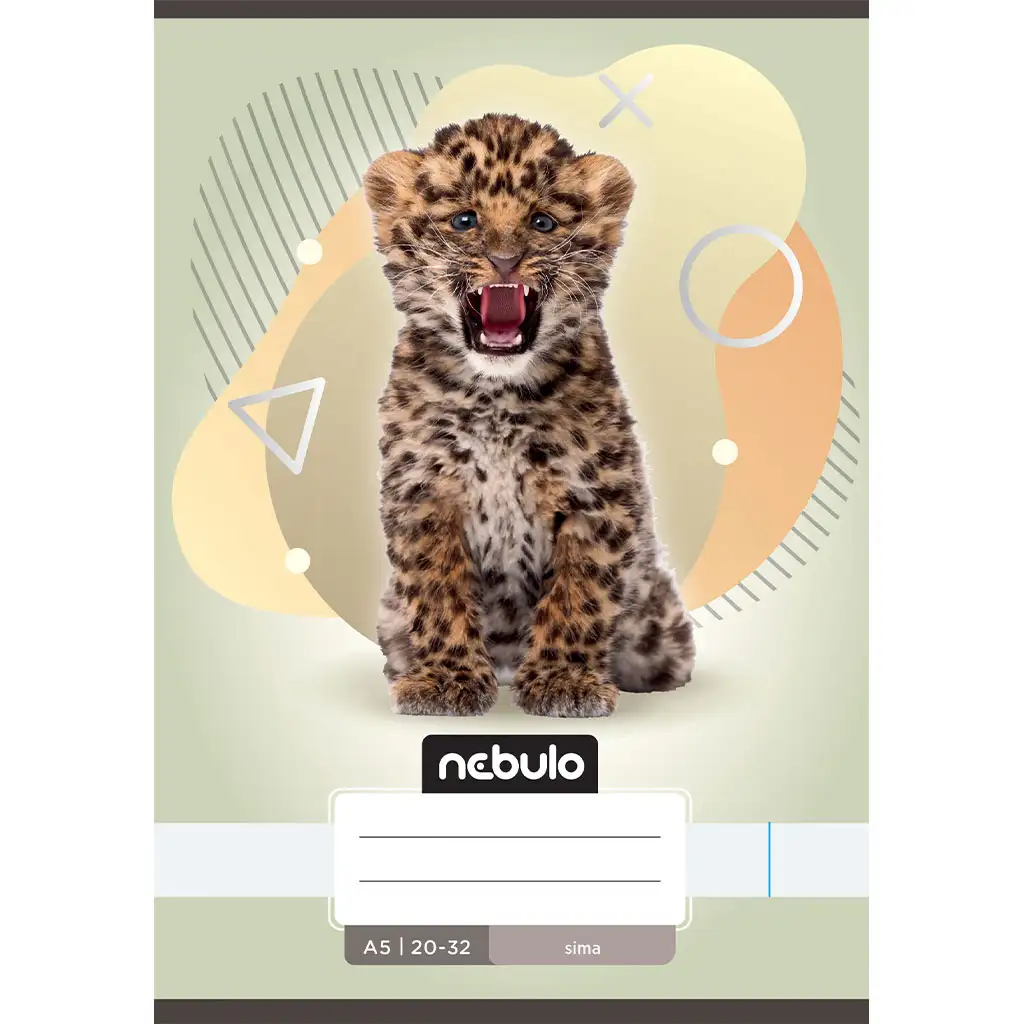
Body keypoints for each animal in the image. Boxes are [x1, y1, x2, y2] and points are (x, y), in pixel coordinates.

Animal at [363, 113, 696, 718]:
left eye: (542, 222)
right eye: (465, 220)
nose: (504, 261)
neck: (495, 397)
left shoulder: (595, 496)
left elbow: (579, 594)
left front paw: (564, 681)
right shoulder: (423, 492)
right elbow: (436, 589)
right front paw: (446, 680)